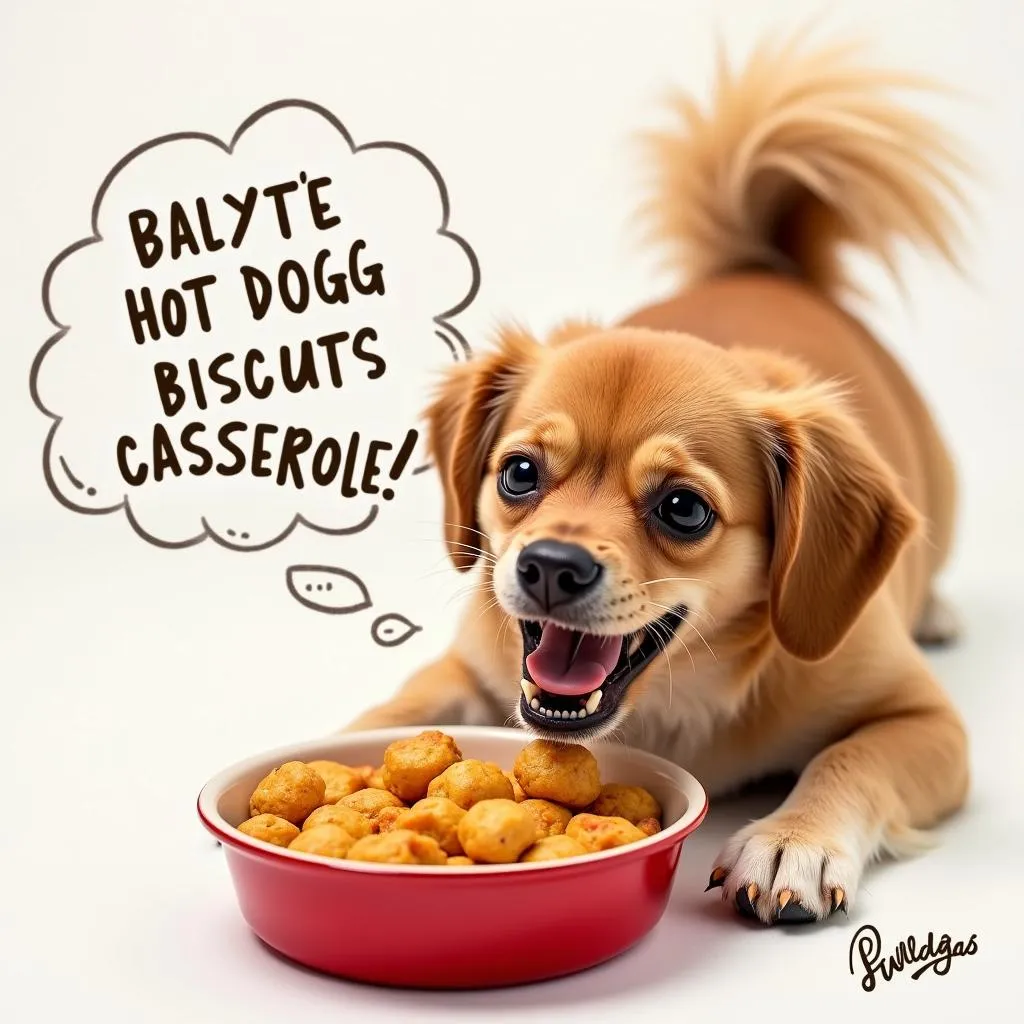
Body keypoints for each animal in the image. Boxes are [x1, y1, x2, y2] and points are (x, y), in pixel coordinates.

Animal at [342, 34, 966, 929]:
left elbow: (849, 760)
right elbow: (400, 710)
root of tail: (764, 266)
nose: (549, 567)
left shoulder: (928, 722)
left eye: (683, 509)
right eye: (520, 473)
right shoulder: (468, 669)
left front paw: (794, 839)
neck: (672, 706)